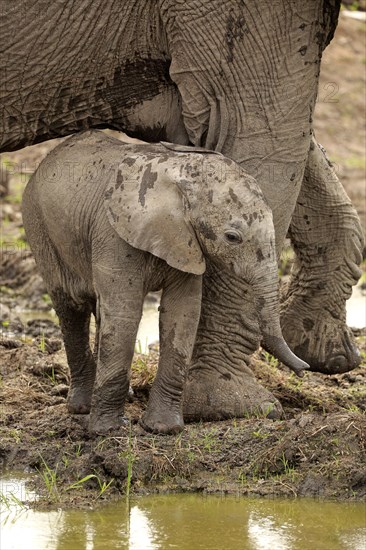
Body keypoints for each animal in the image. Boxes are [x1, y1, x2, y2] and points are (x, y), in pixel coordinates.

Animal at [22, 129, 308, 436]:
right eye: (232, 237)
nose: (303, 369)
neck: (180, 175)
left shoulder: (189, 242)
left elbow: (182, 313)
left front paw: (164, 428)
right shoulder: (113, 233)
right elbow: (125, 313)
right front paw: (108, 431)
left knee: (99, 308)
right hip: (39, 224)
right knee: (71, 306)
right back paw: (82, 408)